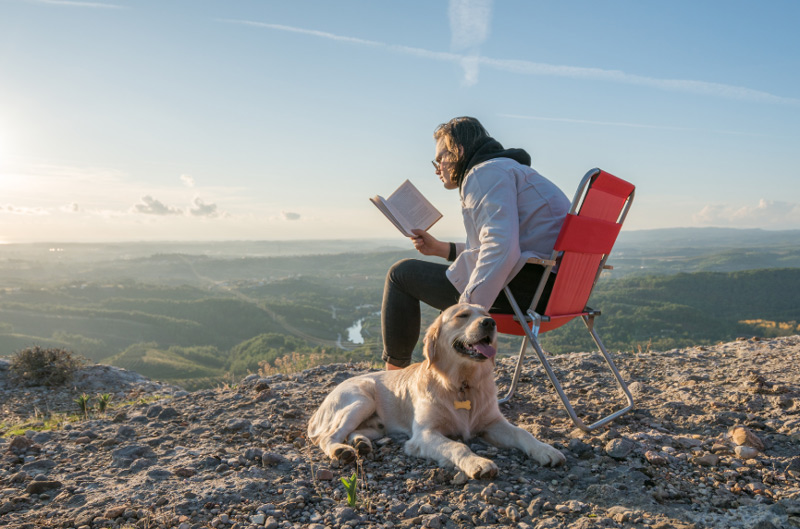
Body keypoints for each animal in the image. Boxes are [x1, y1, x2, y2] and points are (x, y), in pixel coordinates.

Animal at [306, 302, 564, 478]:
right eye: (462, 315)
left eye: (488, 315)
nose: (491, 323)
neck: (461, 383)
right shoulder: (425, 433)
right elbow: (457, 445)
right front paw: (477, 463)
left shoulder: (492, 423)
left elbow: (523, 433)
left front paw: (545, 450)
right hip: (361, 399)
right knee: (329, 436)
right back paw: (342, 451)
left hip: (376, 424)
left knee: (353, 432)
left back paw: (360, 443)